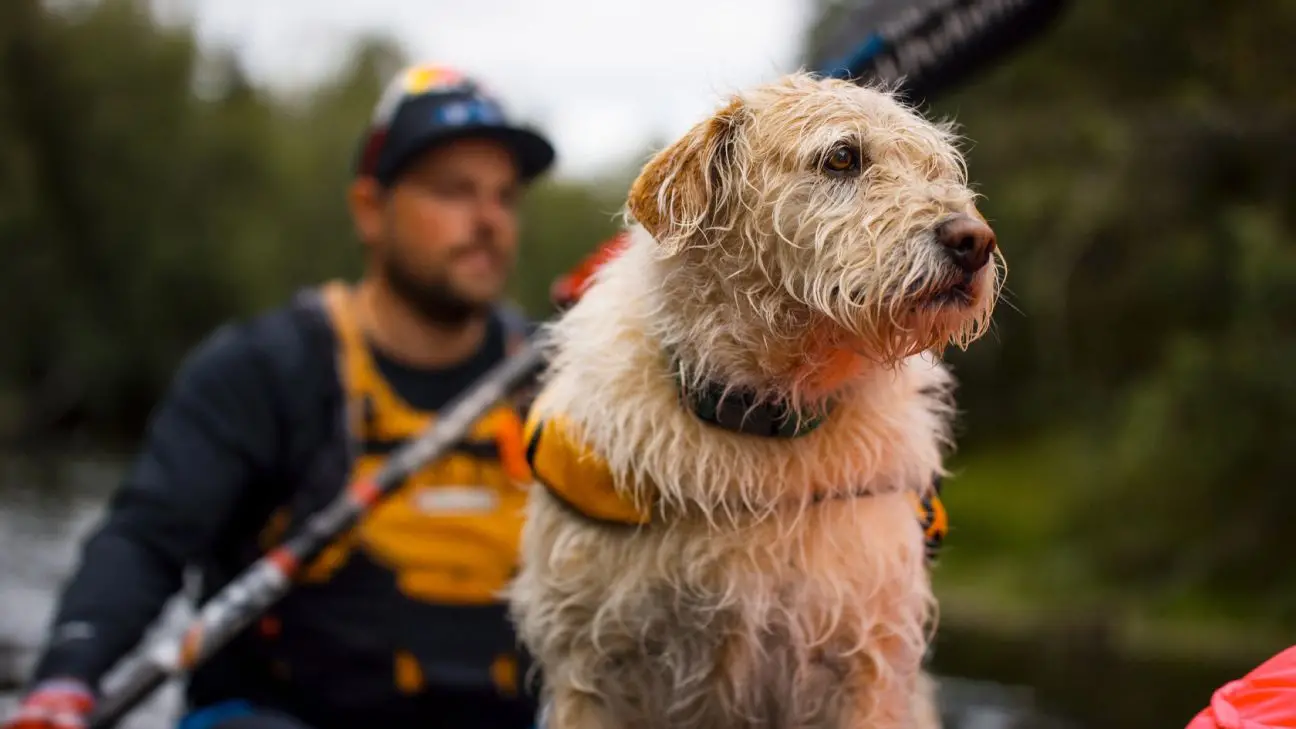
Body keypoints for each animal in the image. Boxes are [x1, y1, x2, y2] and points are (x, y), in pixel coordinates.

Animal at [505, 69, 1000, 726]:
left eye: (937, 168)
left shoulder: (864, 664)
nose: (975, 241)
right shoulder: (592, 670)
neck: (761, 424)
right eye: (842, 157)